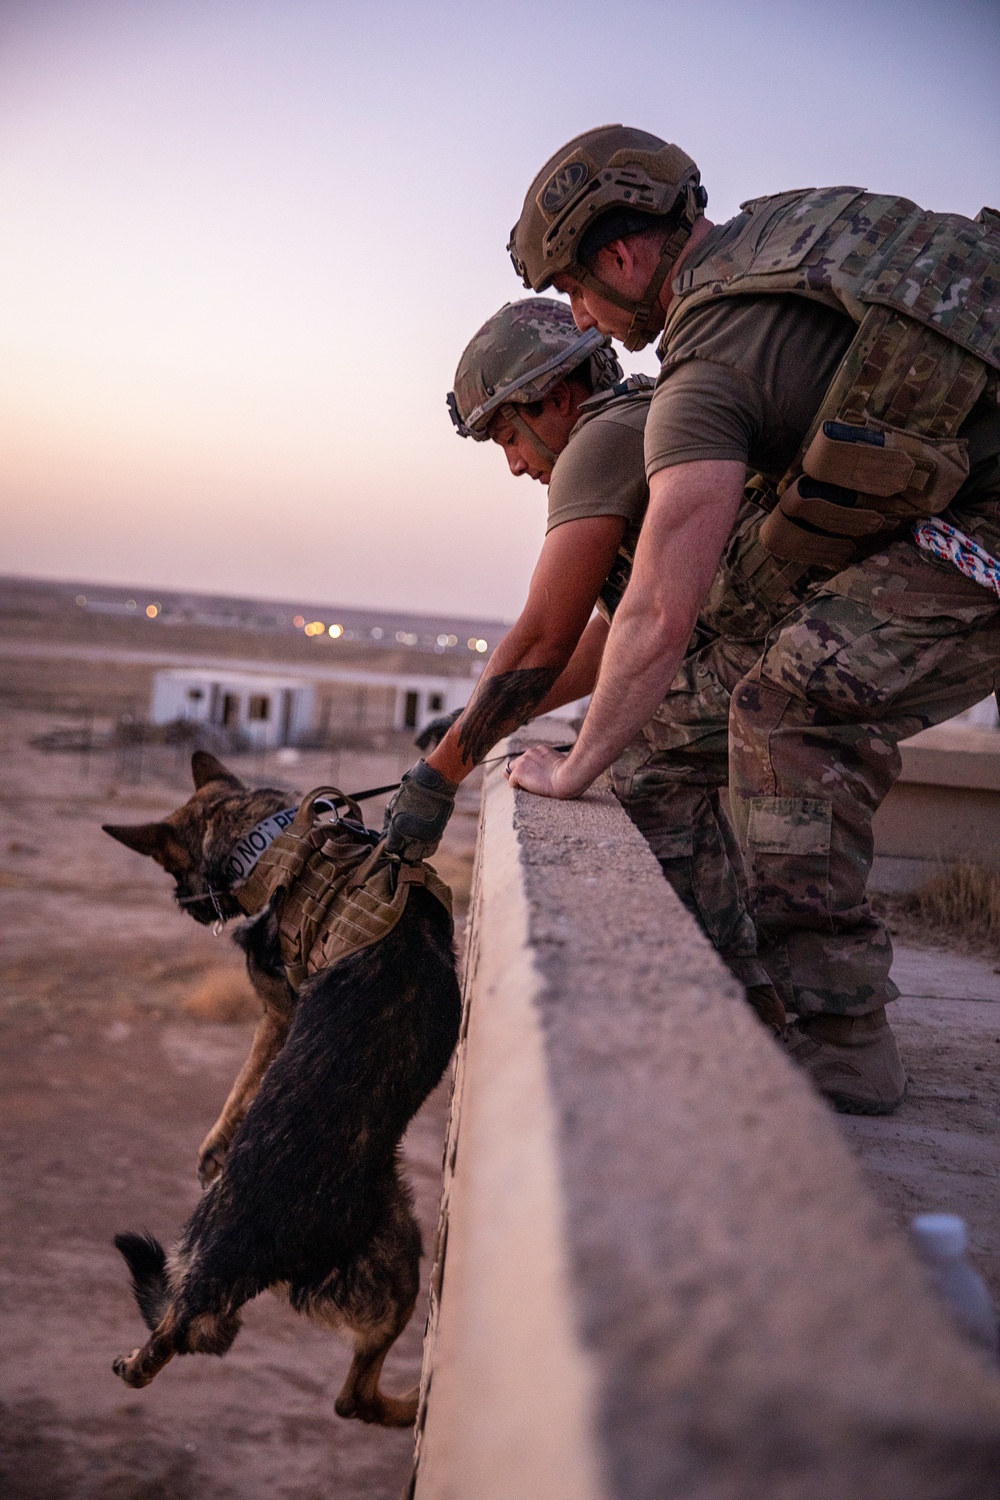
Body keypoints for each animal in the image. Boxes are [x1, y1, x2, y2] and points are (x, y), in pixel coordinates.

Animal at [101, 756, 461, 1422]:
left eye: (171, 869)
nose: (184, 906)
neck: (273, 844)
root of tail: (254, 1258)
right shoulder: (277, 1009)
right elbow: (246, 1080)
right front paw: (216, 1142)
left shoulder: (277, 1011)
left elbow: (246, 1083)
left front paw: (217, 1145)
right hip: (396, 1266)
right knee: (346, 1397)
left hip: (384, 1264)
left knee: (340, 1393)